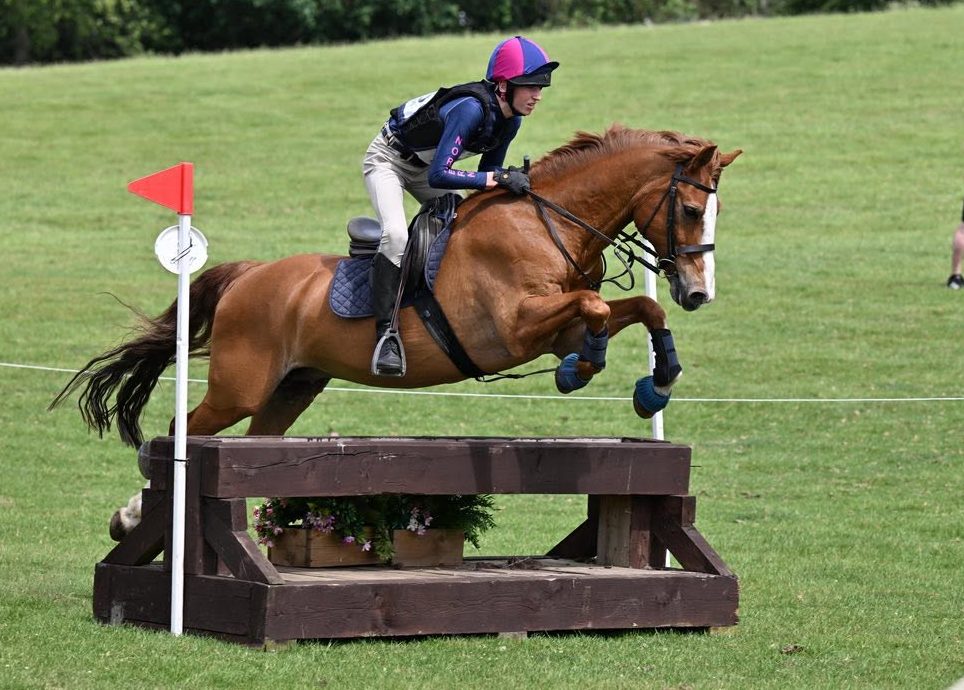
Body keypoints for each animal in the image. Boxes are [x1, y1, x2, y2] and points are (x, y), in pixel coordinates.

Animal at [51, 124, 741, 539]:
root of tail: (250, 275)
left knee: (247, 441)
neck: (548, 222)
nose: (698, 293)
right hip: (239, 387)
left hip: (292, 388)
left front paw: (653, 385)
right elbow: (597, 310)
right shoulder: (515, 328)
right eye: (688, 209)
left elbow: (636, 312)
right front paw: (585, 374)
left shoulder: (555, 327)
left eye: (713, 210)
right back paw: (132, 516)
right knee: (180, 431)